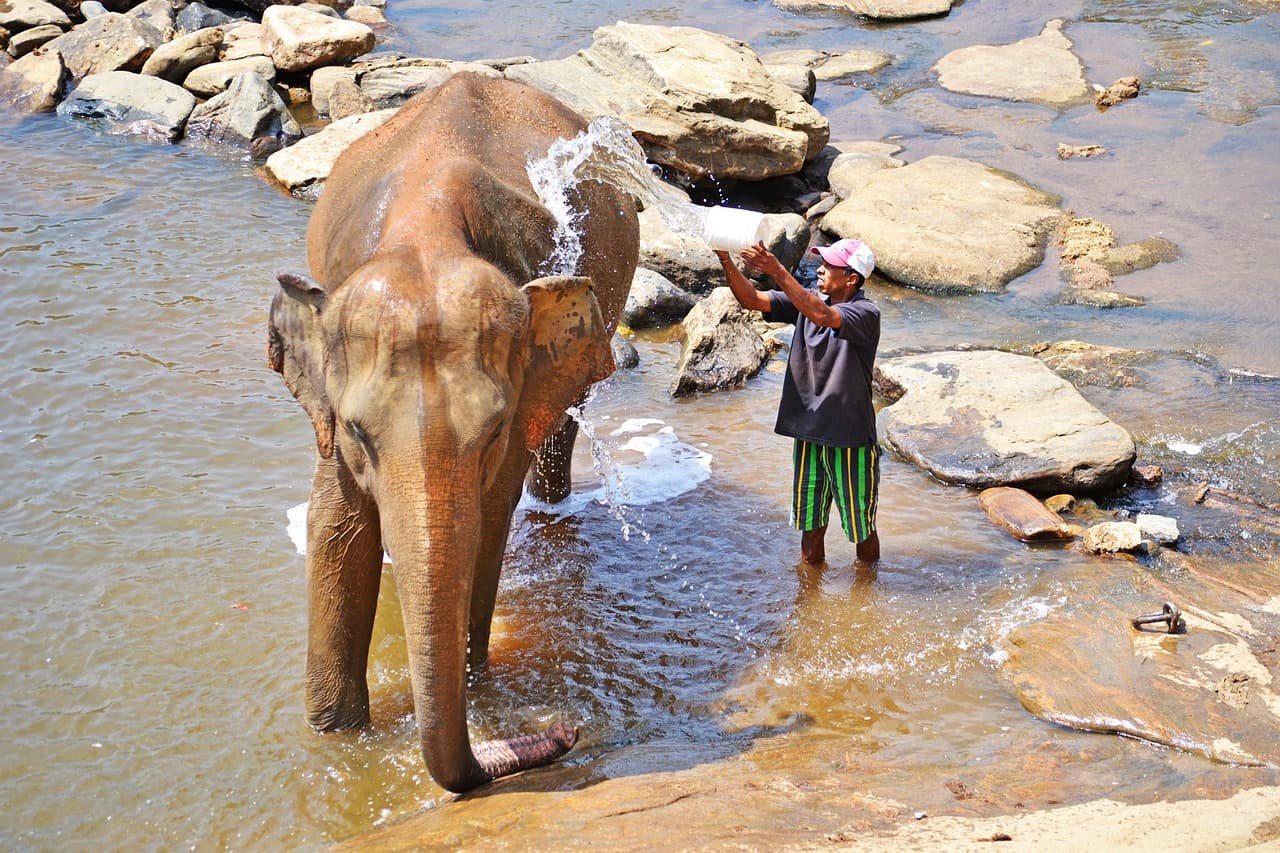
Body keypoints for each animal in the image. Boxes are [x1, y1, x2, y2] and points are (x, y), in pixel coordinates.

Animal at [267, 73, 640, 788]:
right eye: (357, 433)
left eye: (491, 434)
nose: (567, 730)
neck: (426, 232)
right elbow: (336, 528)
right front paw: (335, 734)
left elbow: (486, 525)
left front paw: (472, 677)